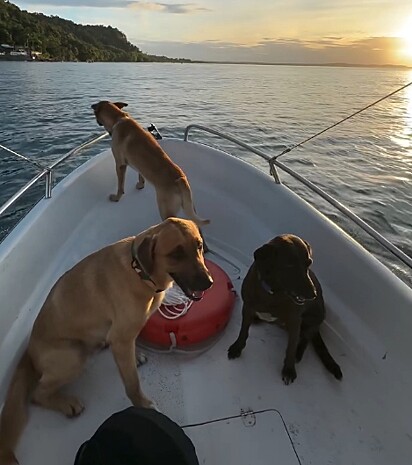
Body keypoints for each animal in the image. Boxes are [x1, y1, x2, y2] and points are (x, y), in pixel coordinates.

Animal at [0, 218, 212, 464]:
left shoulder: (122, 338)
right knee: (37, 394)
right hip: (73, 357)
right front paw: (143, 405)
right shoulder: (121, 338)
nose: (209, 283)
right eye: (176, 253)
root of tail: (29, 353)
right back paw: (66, 403)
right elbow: (132, 383)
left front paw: (135, 357)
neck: (139, 272)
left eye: (199, 246)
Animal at [92, 99, 211, 228]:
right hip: (190, 207)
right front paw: (140, 185)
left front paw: (116, 198)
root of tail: (181, 181)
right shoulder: (138, 165)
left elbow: (120, 186)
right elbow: (140, 175)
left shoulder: (120, 164)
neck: (118, 118)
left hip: (166, 210)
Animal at [227, 234, 342, 382]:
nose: (313, 294)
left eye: (309, 263)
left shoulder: (295, 321)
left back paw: (299, 352)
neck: (273, 292)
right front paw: (237, 348)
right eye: (289, 265)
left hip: (314, 319)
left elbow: (291, 347)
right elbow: (243, 331)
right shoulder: (247, 307)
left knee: (306, 337)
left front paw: (289, 369)